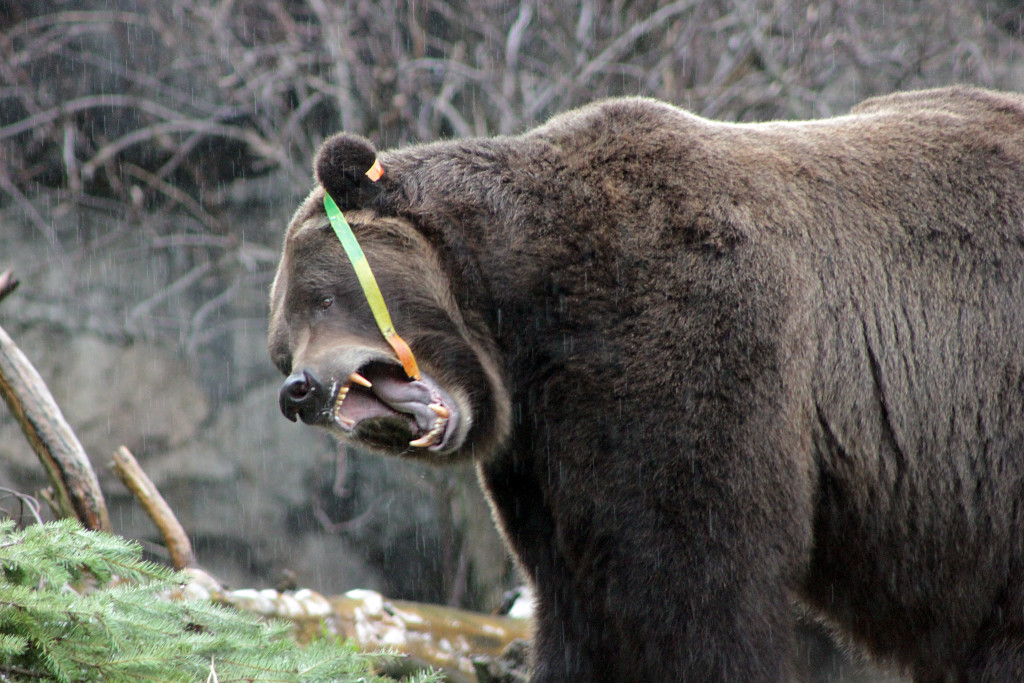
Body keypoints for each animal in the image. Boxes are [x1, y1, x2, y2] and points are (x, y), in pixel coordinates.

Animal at [268, 88, 1024, 679]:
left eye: (318, 298)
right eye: (281, 346)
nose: (297, 390)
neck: (527, 306)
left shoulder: (686, 322)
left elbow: (691, 575)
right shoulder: (547, 437)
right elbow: (575, 595)